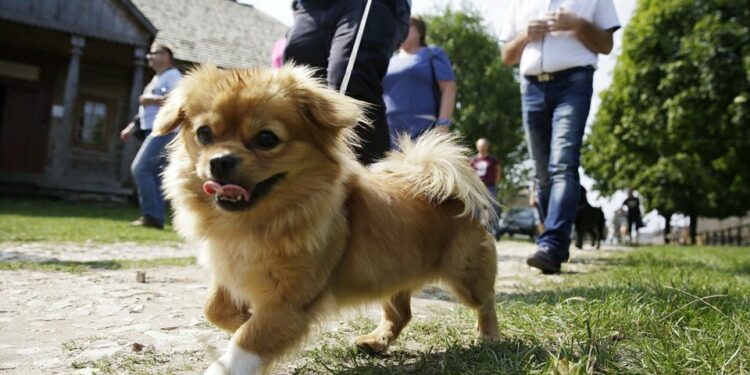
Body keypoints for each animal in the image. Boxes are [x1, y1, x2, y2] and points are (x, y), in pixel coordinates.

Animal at [154, 66, 500, 374]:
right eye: (204, 134)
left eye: (266, 139)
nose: (220, 161)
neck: (257, 221)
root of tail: (449, 192)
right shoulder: (232, 269)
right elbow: (214, 309)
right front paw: (242, 316)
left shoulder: (290, 301)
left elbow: (249, 341)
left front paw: (237, 343)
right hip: (391, 274)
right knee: (401, 313)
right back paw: (376, 342)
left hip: (466, 276)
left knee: (486, 302)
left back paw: (488, 337)